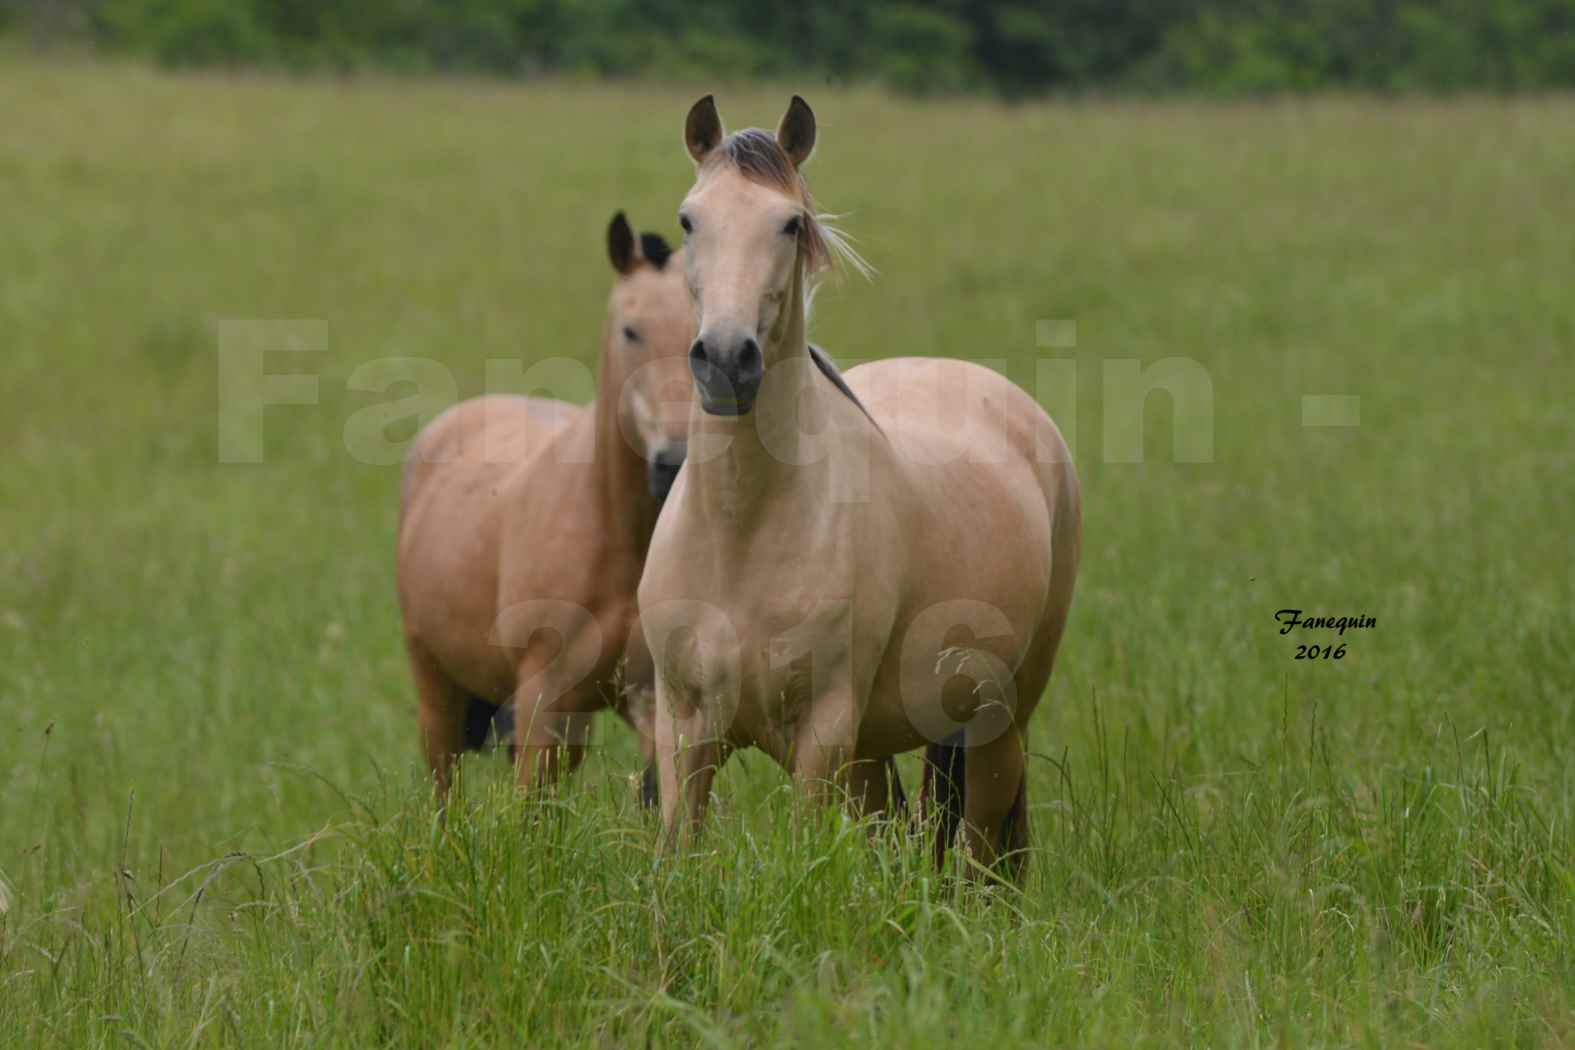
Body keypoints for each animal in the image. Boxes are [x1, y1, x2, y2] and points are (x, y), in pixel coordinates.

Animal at [396, 215, 693, 805]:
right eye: (631, 330)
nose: (672, 462)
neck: (615, 534)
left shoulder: (650, 699)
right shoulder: (543, 700)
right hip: (435, 686)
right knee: (444, 787)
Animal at [633, 98, 1077, 875]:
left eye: (789, 223)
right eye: (689, 219)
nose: (725, 360)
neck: (743, 529)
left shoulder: (823, 732)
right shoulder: (684, 726)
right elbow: (677, 852)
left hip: (997, 723)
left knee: (982, 853)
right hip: (880, 749)